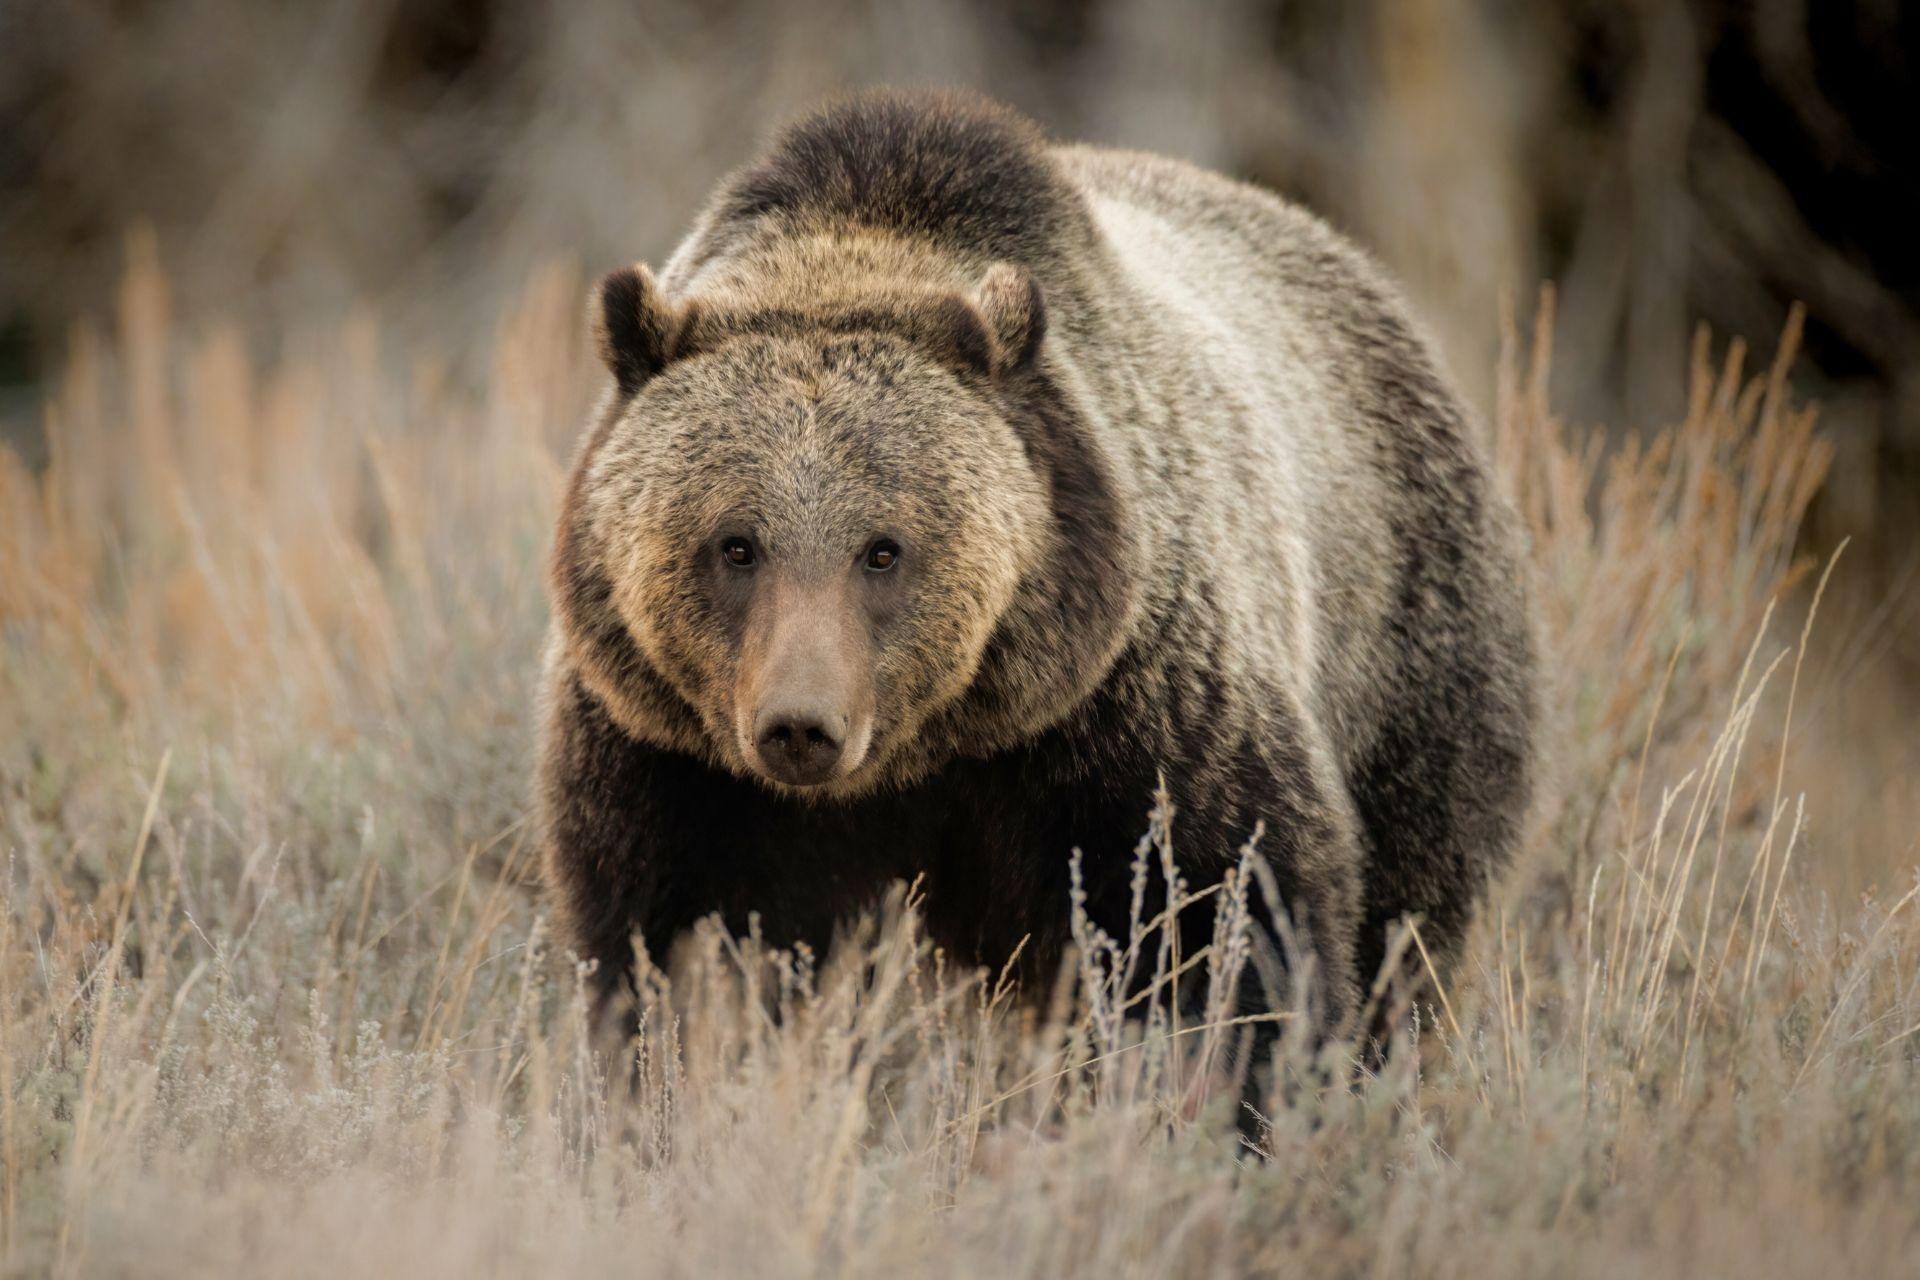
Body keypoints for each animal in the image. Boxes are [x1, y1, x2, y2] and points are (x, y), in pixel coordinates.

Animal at [538, 88, 1536, 1047]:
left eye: (883, 549)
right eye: (735, 543)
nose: (801, 726)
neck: (927, 754)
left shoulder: (1131, 714)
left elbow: (1227, 918)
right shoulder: (673, 763)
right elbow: (679, 951)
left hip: (1409, 651)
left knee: (1414, 911)